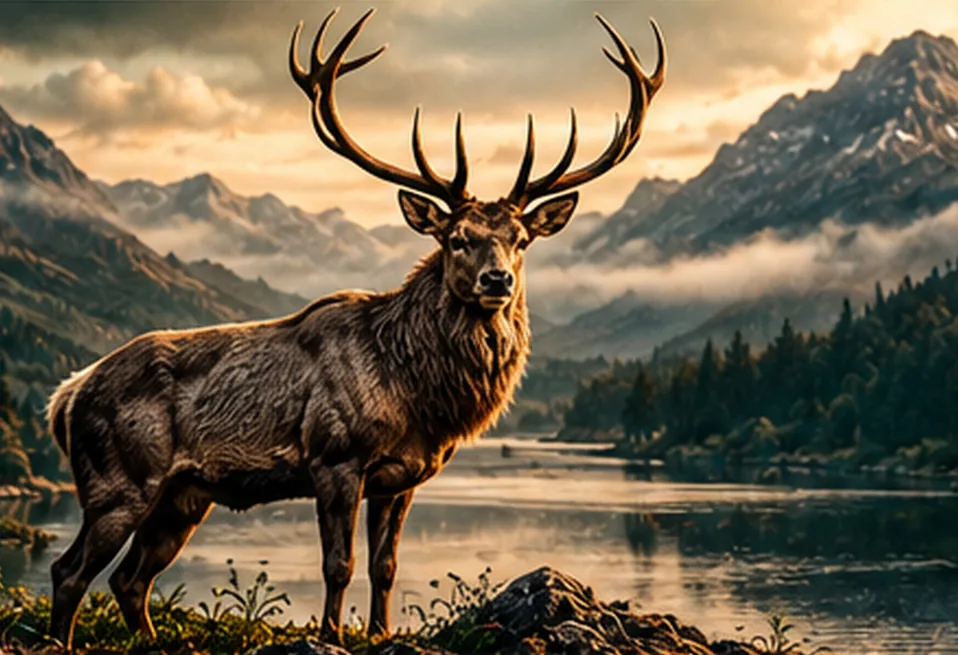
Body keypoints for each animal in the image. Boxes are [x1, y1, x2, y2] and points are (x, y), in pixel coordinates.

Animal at [44, 6, 664, 650]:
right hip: (119, 479)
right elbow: (337, 564)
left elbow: (384, 566)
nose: (498, 280)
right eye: (457, 238)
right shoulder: (334, 457)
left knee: (130, 580)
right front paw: (331, 632)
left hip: (182, 496)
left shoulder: (402, 476)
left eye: (520, 240)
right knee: (70, 570)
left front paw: (381, 631)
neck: (418, 394)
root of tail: (66, 396)